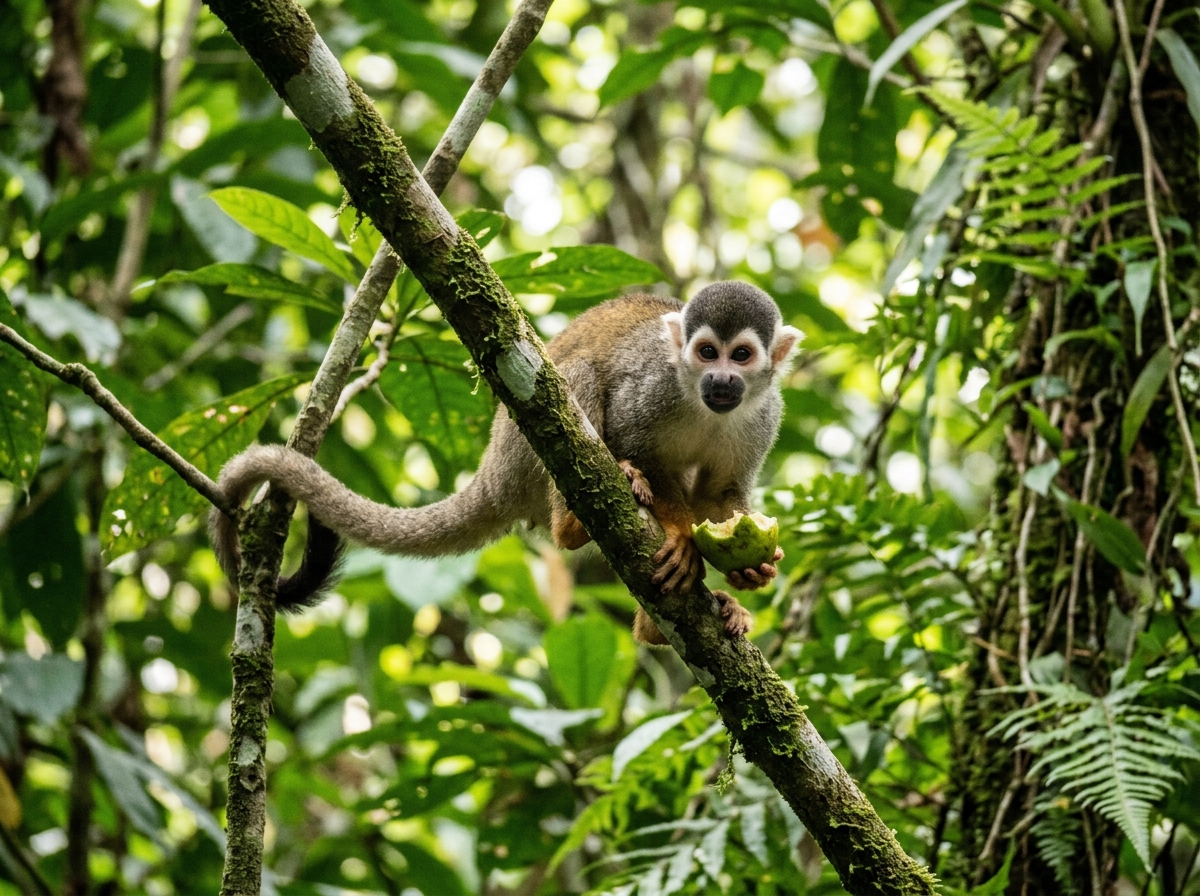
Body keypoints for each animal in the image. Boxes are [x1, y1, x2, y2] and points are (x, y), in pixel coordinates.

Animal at [210, 280, 802, 645]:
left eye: (741, 355)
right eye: (706, 352)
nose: (720, 379)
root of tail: (492, 473)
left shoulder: (765, 414)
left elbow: (722, 495)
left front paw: (753, 567)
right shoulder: (654, 385)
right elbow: (637, 442)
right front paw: (679, 534)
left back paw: (665, 625)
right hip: (523, 448)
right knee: (577, 377)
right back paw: (577, 523)